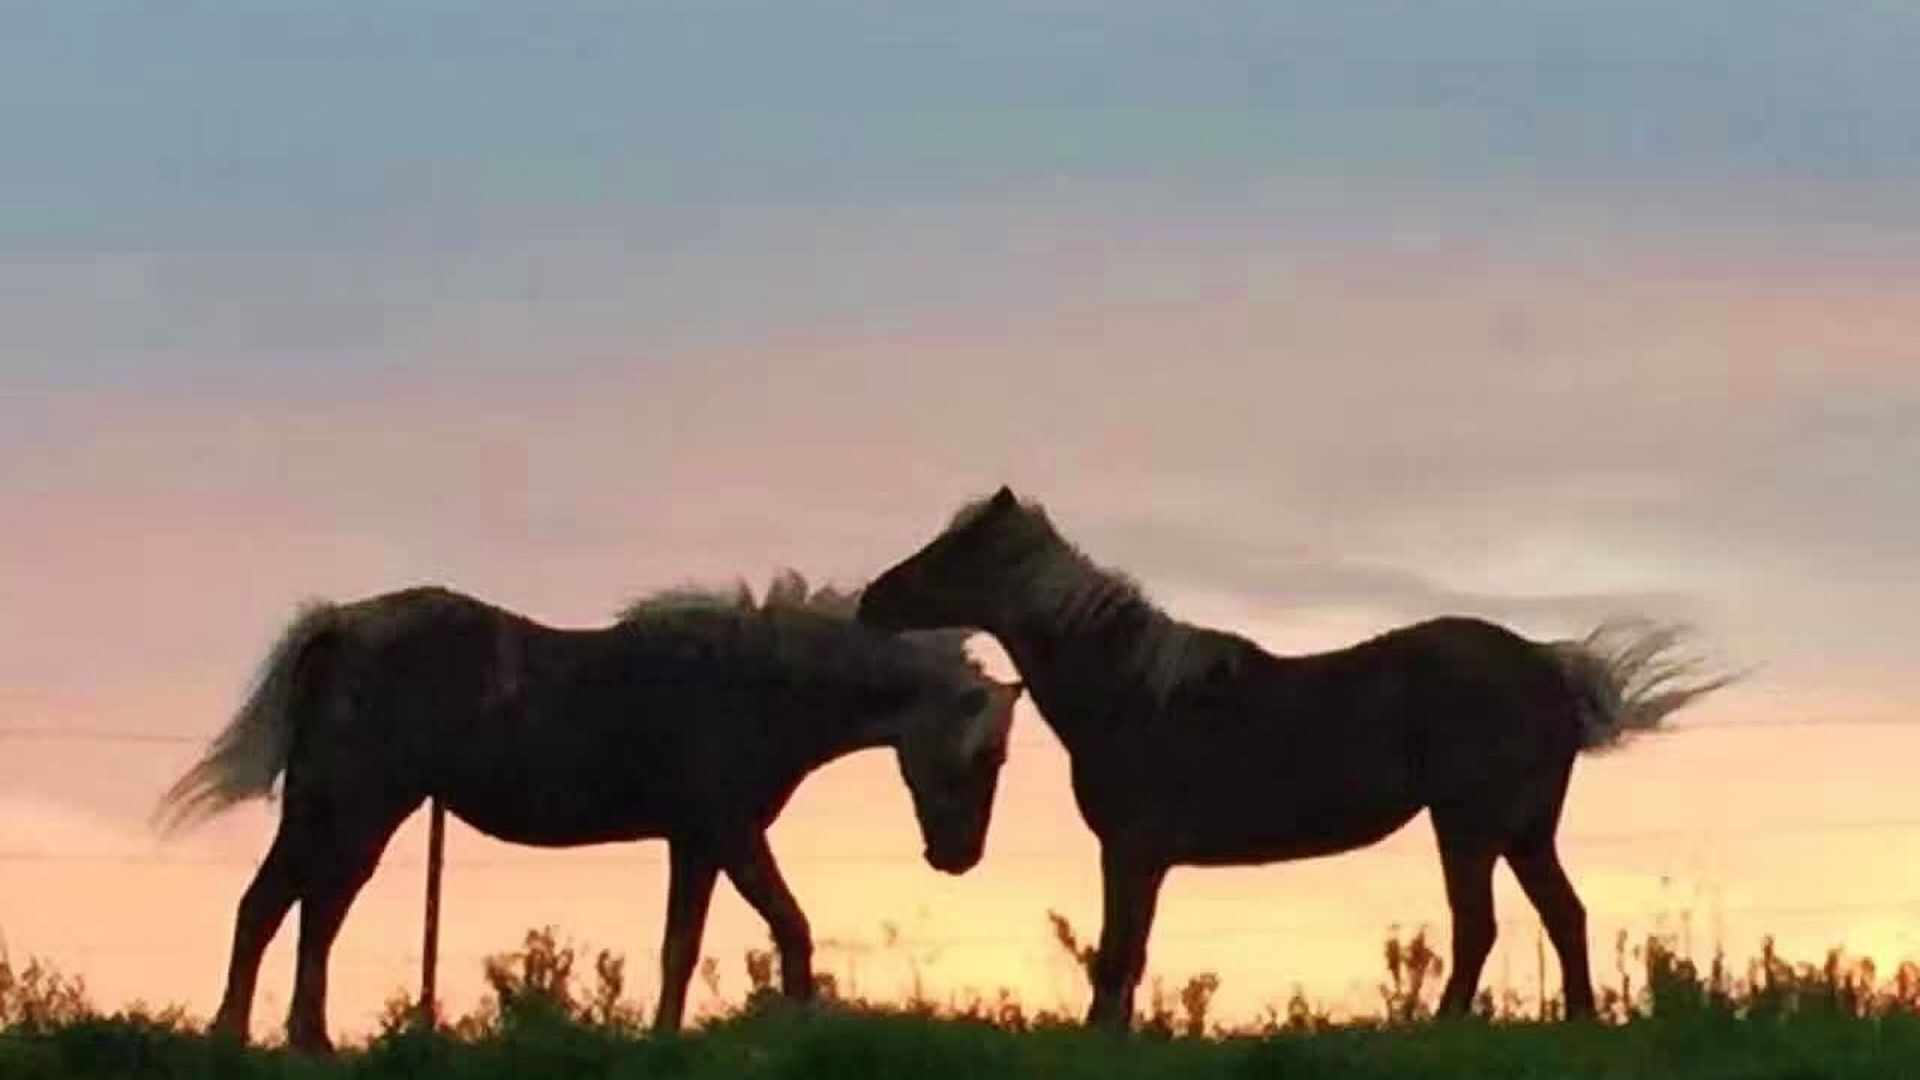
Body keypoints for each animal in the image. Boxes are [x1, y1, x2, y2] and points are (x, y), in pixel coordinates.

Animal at [154, 569, 1023, 1052]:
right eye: (989, 757)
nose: (959, 857)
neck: (755, 684)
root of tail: (339, 622)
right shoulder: (730, 833)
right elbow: (789, 928)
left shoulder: (696, 843)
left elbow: (682, 947)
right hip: (356, 811)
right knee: (286, 907)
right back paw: (254, 1039)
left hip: (338, 813)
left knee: (298, 911)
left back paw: (295, 1040)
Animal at [856, 486, 1737, 1030]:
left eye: (951, 553)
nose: (869, 600)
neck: (1135, 692)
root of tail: (1551, 667)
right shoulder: (1141, 858)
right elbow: (1123, 958)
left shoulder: (1132, 853)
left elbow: (1115, 958)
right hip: (1524, 833)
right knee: (1565, 916)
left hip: (1469, 829)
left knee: (1478, 927)